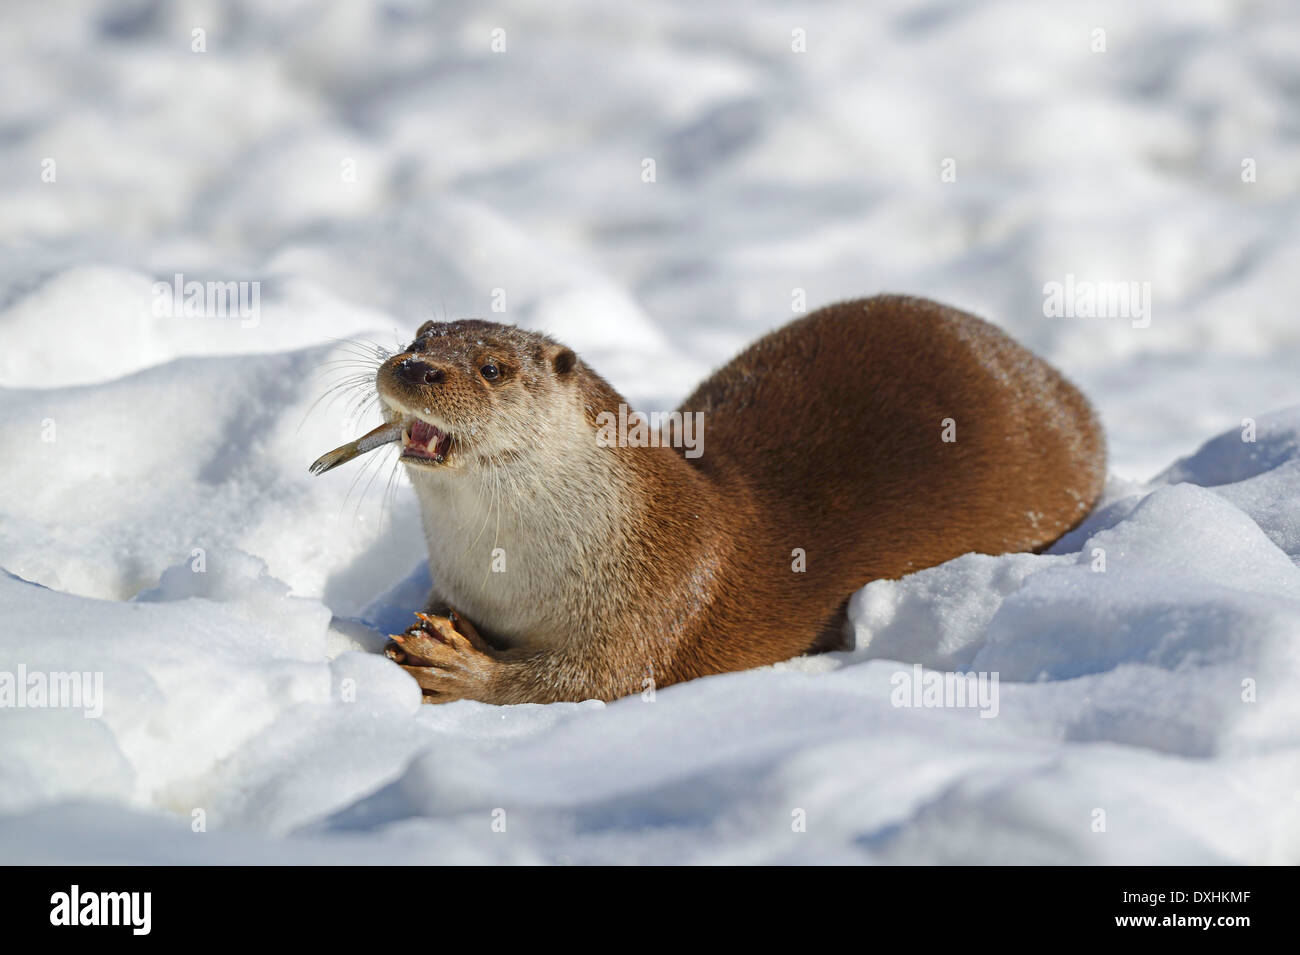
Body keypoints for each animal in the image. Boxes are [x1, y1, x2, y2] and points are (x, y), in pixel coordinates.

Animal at [312, 294, 1107, 706]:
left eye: (493, 367)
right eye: (421, 333)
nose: (413, 366)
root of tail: (1063, 388)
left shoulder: (659, 594)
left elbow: (589, 678)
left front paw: (455, 665)